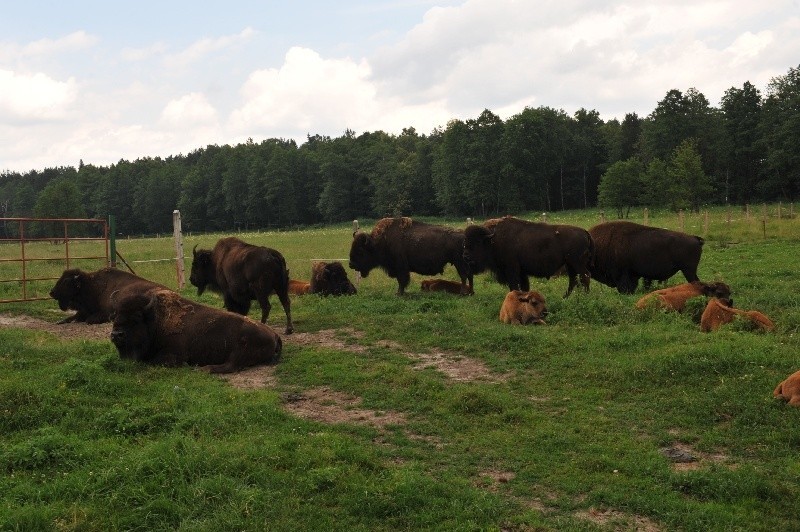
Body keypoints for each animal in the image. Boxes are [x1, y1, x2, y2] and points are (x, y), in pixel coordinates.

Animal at [110, 288, 282, 372]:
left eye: (136, 318)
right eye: (115, 317)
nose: (116, 335)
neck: (156, 320)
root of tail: (274, 334)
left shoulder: (174, 355)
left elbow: (153, 361)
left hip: (240, 350)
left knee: (230, 366)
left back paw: (202, 369)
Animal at [462, 217, 592, 300]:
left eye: (477, 242)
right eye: (466, 241)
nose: (465, 256)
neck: (492, 240)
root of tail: (585, 232)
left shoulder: (512, 270)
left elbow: (514, 286)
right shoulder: (522, 272)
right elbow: (524, 287)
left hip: (577, 263)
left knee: (584, 277)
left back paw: (585, 297)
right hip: (570, 265)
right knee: (573, 280)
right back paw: (565, 297)